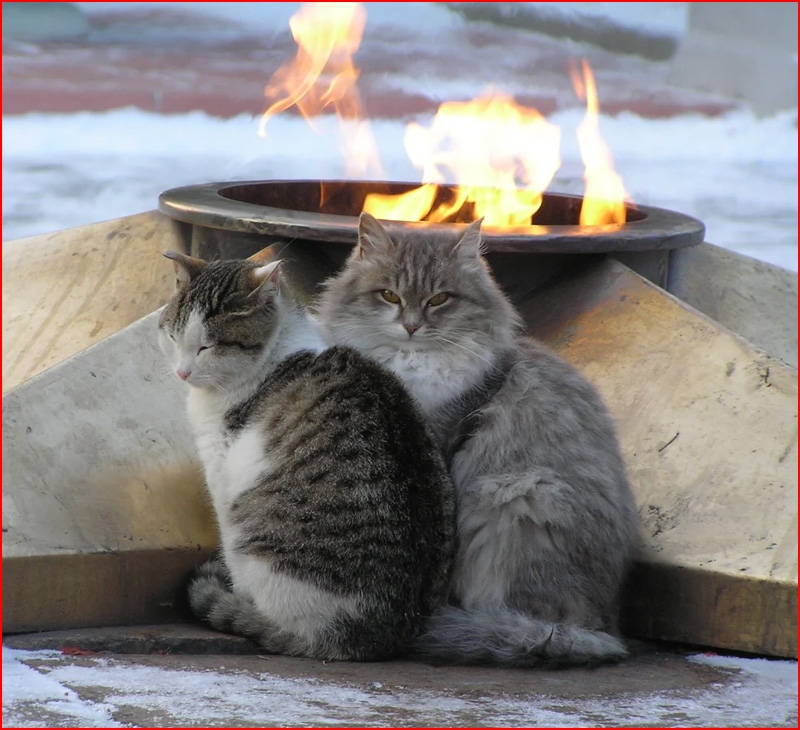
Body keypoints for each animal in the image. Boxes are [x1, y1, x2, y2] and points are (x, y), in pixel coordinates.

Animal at [316, 212, 640, 664]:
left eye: (439, 299)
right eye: (389, 296)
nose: (412, 327)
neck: (407, 365)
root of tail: (605, 627)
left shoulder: (439, 444)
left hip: (519, 495)